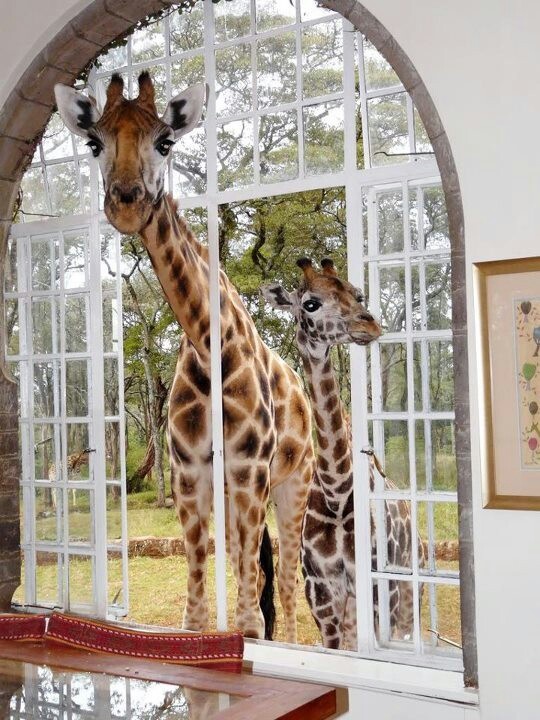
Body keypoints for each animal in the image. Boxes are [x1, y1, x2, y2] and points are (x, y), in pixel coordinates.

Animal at [54, 70, 312, 640]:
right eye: (94, 143)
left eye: (165, 142)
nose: (127, 203)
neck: (208, 344)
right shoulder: (191, 477)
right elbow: (196, 614)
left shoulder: (249, 472)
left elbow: (248, 618)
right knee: (262, 575)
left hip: (293, 483)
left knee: (285, 581)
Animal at [262, 256, 426, 648]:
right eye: (310, 303)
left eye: (357, 293)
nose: (369, 323)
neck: (336, 494)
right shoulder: (321, 592)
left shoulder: (379, 588)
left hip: (408, 594)